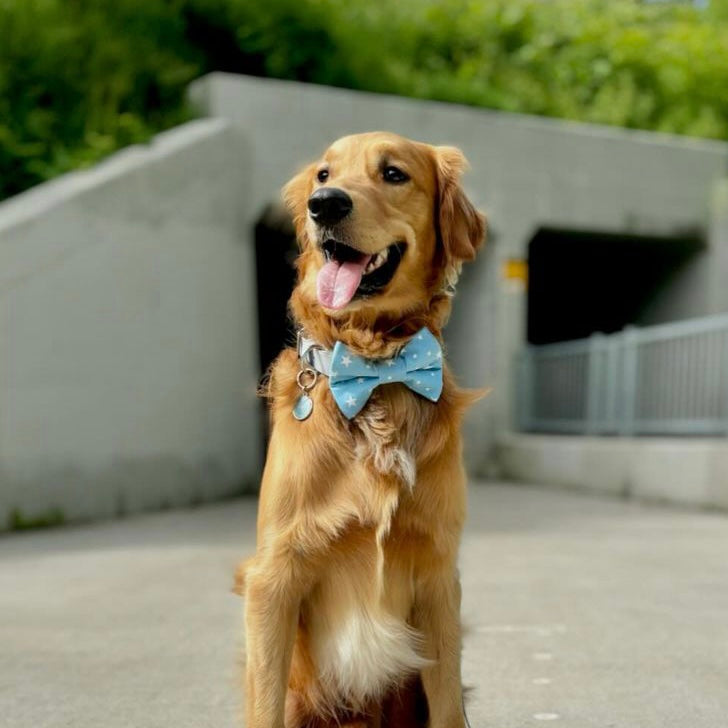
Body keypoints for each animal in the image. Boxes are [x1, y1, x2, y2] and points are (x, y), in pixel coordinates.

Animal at [239, 132, 486, 728]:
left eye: (393, 173)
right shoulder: (273, 576)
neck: (374, 367)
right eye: (324, 175)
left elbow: (449, 708)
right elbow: (265, 707)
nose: (324, 205)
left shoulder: (438, 572)